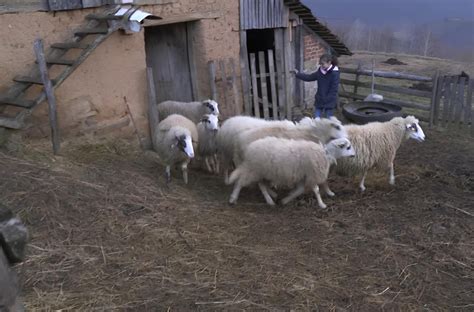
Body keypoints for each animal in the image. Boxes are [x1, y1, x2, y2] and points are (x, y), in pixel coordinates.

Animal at [227, 137, 356, 208]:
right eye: (348, 147)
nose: (355, 155)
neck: (325, 154)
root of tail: (249, 149)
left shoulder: (303, 175)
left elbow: (299, 191)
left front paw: (286, 200)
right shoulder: (311, 174)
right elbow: (317, 190)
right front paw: (322, 204)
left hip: (262, 171)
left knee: (261, 184)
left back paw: (272, 196)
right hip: (255, 169)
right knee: (243, 182)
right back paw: (234, 198)